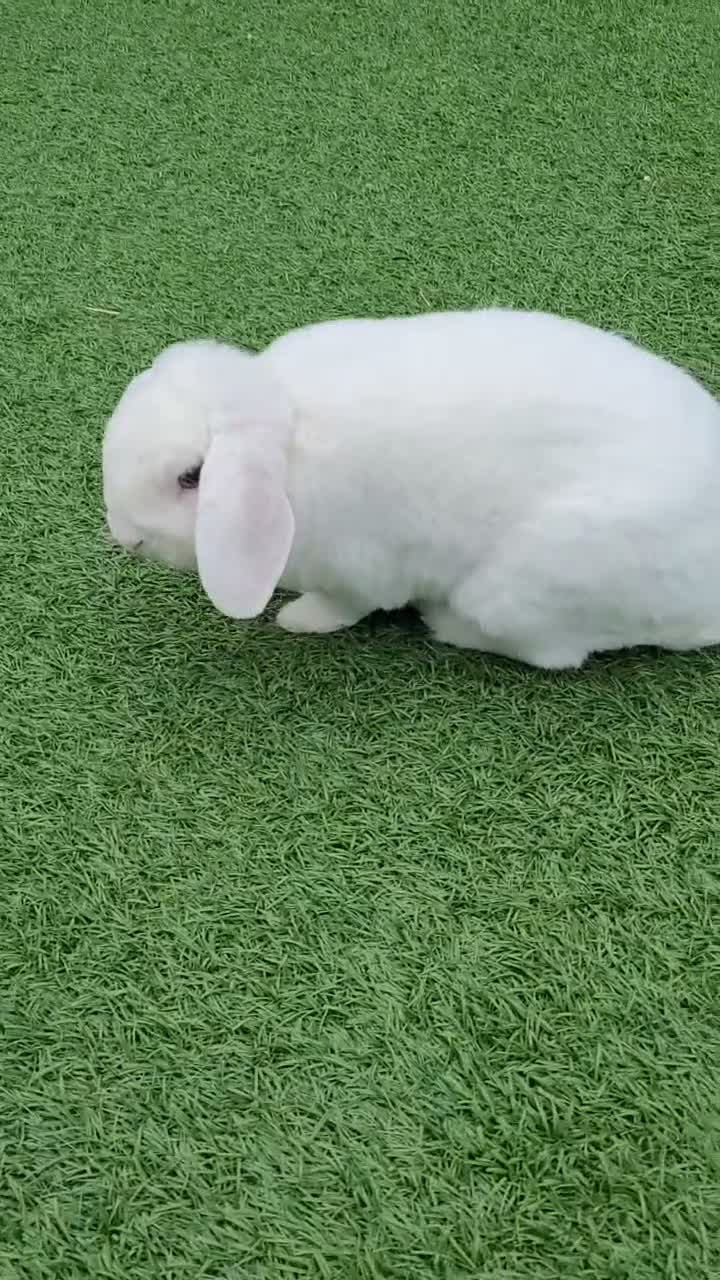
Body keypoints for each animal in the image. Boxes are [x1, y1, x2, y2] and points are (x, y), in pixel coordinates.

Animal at [102, 307, 720, 669]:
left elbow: (343, 605)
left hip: (525, 588)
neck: (289, 451)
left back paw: (444, 623)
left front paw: (298, 619)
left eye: (191, 477)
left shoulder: (361, 569)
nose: (126, 537)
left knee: (553, 652)